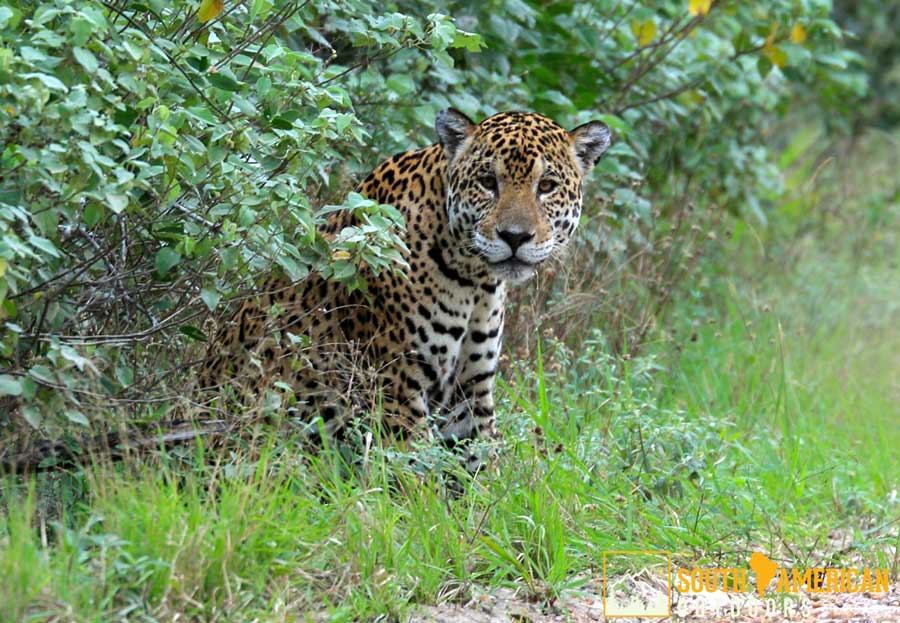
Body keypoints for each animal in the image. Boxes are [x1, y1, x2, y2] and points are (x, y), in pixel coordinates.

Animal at [196, 109, 611, 469]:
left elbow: (479, 471)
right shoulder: (397, 386)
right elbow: (416, 476)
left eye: (548, 186)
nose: (514, 237)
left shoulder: (472, 390)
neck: (475, 280)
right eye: (487, 183)